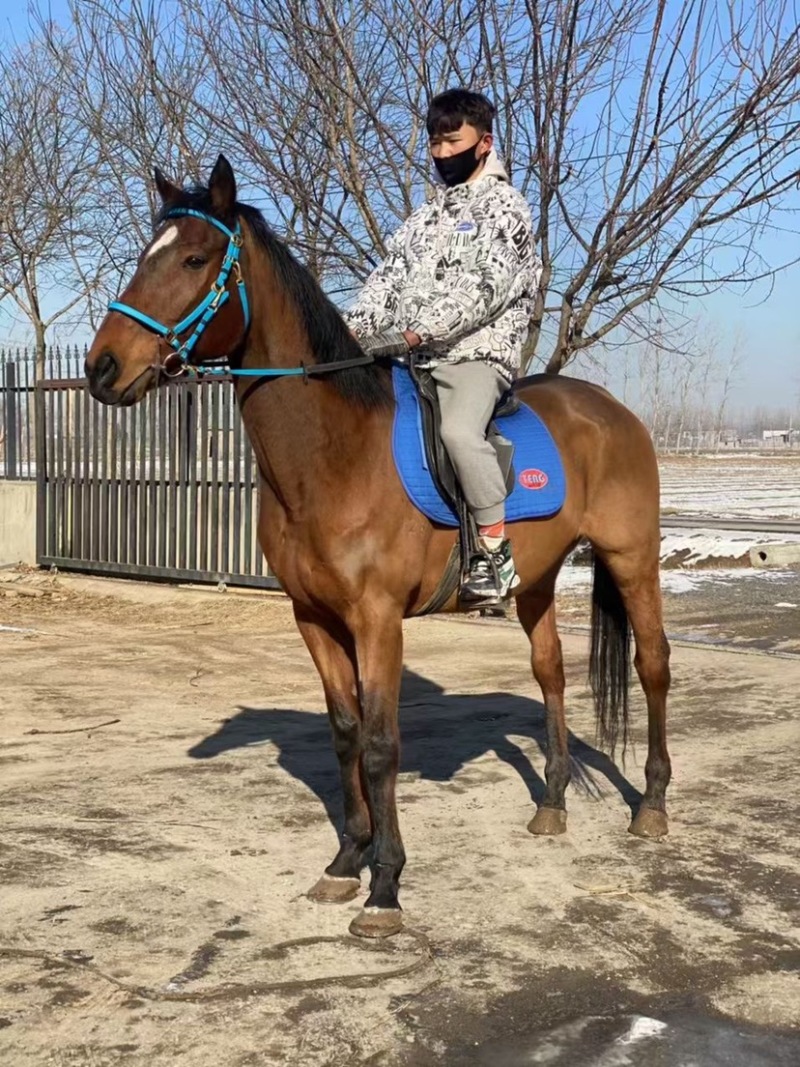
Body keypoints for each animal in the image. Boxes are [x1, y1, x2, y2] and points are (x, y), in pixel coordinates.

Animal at [85, 155, 671, 940]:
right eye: (144, 257)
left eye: (194, 259)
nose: (103, 368)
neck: (335, 454)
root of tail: (612, 410)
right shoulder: (313, 617)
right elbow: (344, 734)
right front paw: (346, 861)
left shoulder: (377, 620)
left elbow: (381, 742)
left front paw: (386, 885)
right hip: (538, 579)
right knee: (550, 673)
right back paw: (550, 805)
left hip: (633, 559)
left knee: (653, 665)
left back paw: (654, 805)